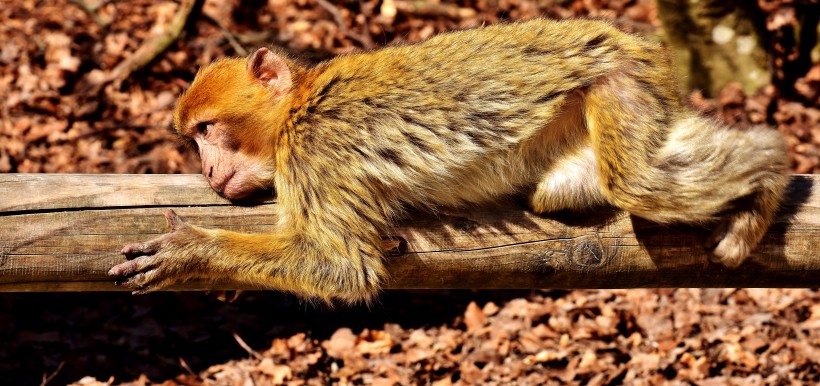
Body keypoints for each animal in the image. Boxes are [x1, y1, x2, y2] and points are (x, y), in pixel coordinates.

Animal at [107, 18, 788, 304]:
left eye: (207, 130)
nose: (205, 168)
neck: (297, 106)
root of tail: (631, 38)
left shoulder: (314, 147)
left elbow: (341, 267)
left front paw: (192, 251)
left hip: (622, 80)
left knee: (641, 182)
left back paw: (769, 170)